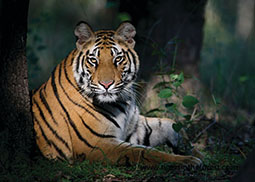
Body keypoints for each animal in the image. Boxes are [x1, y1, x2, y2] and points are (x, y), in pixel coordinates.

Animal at [32, 21, 203, 166]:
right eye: (93, 60)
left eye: (118, 59)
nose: (106, 84)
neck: (123, 101)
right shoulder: (96, 144)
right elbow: (144, 152)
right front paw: (188, 160)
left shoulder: (135, 126)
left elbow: (169, 124)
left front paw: (195, 150)